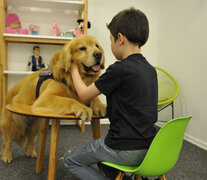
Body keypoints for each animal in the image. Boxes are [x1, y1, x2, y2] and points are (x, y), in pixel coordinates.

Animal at [0, 34, 106, 162]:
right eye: (82, 48)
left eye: (97, 46)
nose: (98, 54)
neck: (72, 77)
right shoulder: (45, 97)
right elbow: (69, 100)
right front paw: (83, 109)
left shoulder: (83, 93)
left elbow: (94, 98)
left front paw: (100, 106)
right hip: (15, 123)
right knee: (7, 140)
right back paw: (6, 155)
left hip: (36, 124)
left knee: (30, 139)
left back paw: (31, 152)